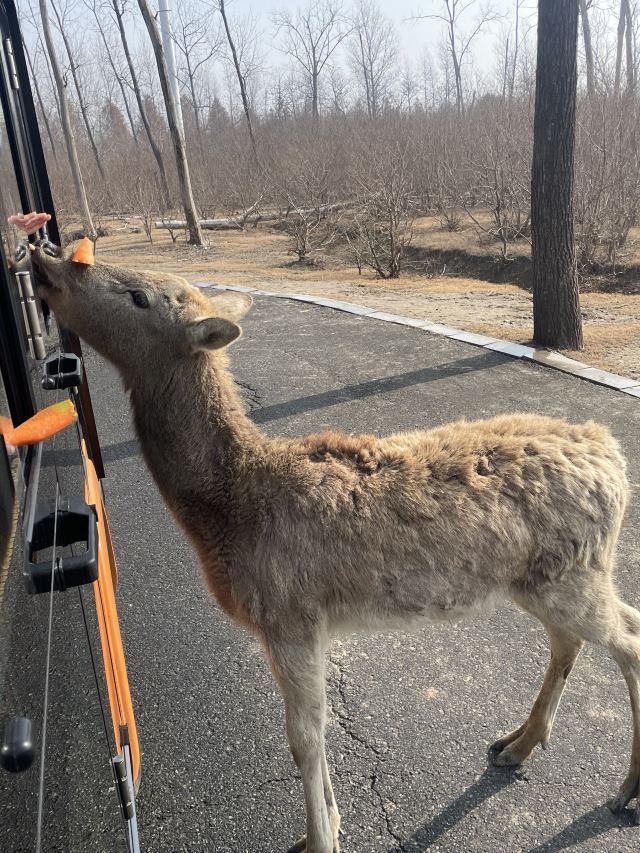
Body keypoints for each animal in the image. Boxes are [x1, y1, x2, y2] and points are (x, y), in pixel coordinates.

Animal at [28, 240, 638, 852]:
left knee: (628, 640)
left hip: (570, 575)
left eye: (139, 295)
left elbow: (303, 738)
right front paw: (328, 825)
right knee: (582, 635)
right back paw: (518, 744)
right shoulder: (294, 626)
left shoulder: (291, 614)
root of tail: (614, 458)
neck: (229, 511)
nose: (46, 258)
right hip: (551, 577)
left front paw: (322, 839)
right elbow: (309, 734)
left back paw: (625, 791)